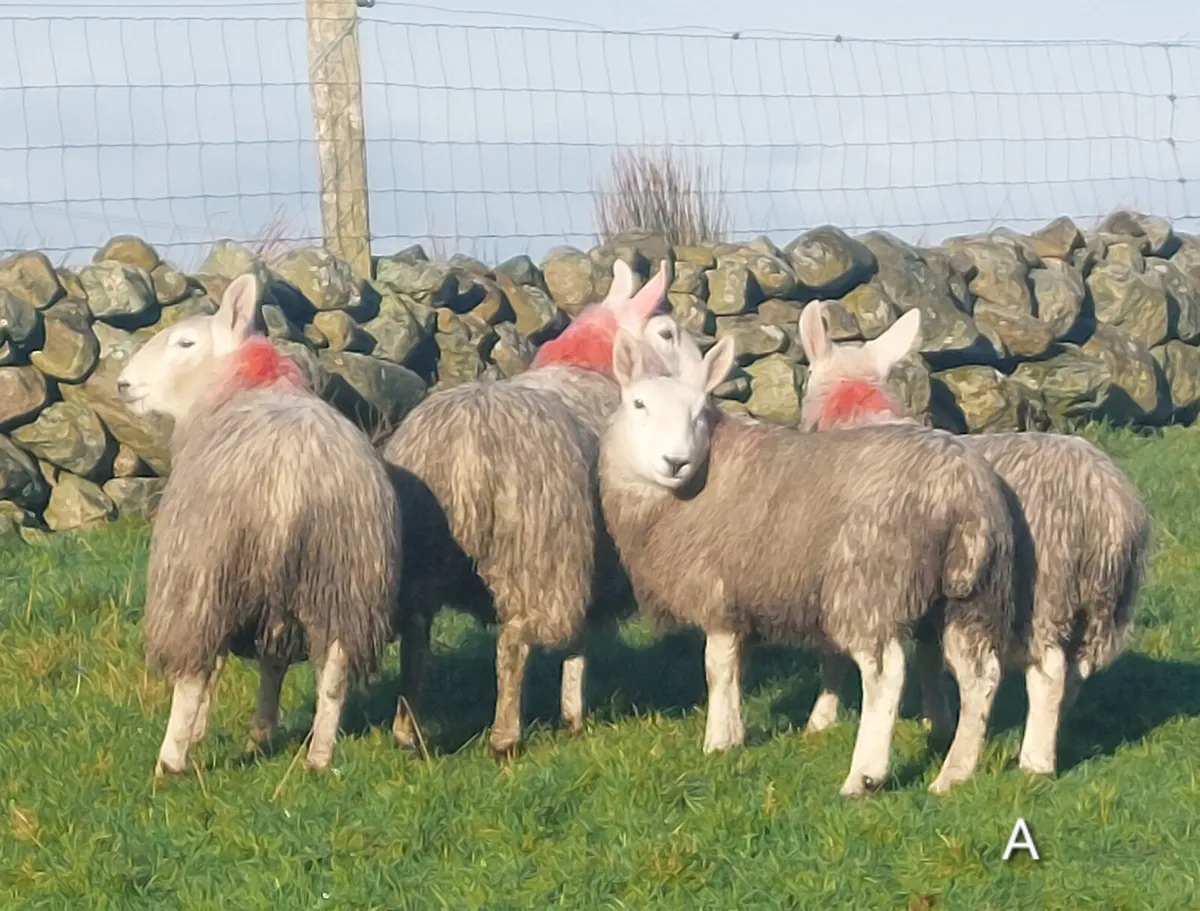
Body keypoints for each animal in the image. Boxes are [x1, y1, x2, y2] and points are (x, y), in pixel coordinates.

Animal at [117, 273, 401, 775]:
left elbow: (212, 673)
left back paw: (170, 762)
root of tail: (293, 479)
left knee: (193, 670)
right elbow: (273, 662)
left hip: (202, 574)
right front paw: (262, 732)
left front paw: (200, 733)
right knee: (333, 671)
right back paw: (318, 757)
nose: (123, 384)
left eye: (186, 342)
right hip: (346, 576)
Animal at [382, 260, 689, 759]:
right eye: (667, 333)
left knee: (415, 639)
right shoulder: (588, 556)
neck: (592, 368)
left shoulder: (587, 559)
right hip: (535, 557)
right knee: (512, 643)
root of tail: (461, 453)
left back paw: (408, 731)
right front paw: (573, 714)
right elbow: (578, 639)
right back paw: (505, 736)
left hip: (421, 564)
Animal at [598, 329, 1018, 795]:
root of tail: (960, 491)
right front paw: (738, 732)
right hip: (971, 593)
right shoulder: (745, 593)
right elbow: (740, 668)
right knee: (981, 676)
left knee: (886, 674)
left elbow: (717, 668)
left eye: (699, 412)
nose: (675, 462)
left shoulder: (717, 593)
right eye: (639, 404)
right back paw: (953, 774)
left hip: (870, 582)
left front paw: (718, 741)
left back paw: (865, 775)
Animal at [797, 302, 1151, 775]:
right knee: (1077, 673)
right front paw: (936, 720)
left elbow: (833, 657)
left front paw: (819, 720)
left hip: (1041, 597)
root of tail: (1106, 507)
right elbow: (927, 659)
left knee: (1046, 674)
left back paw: (1030, 763)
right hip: (1103, 607)